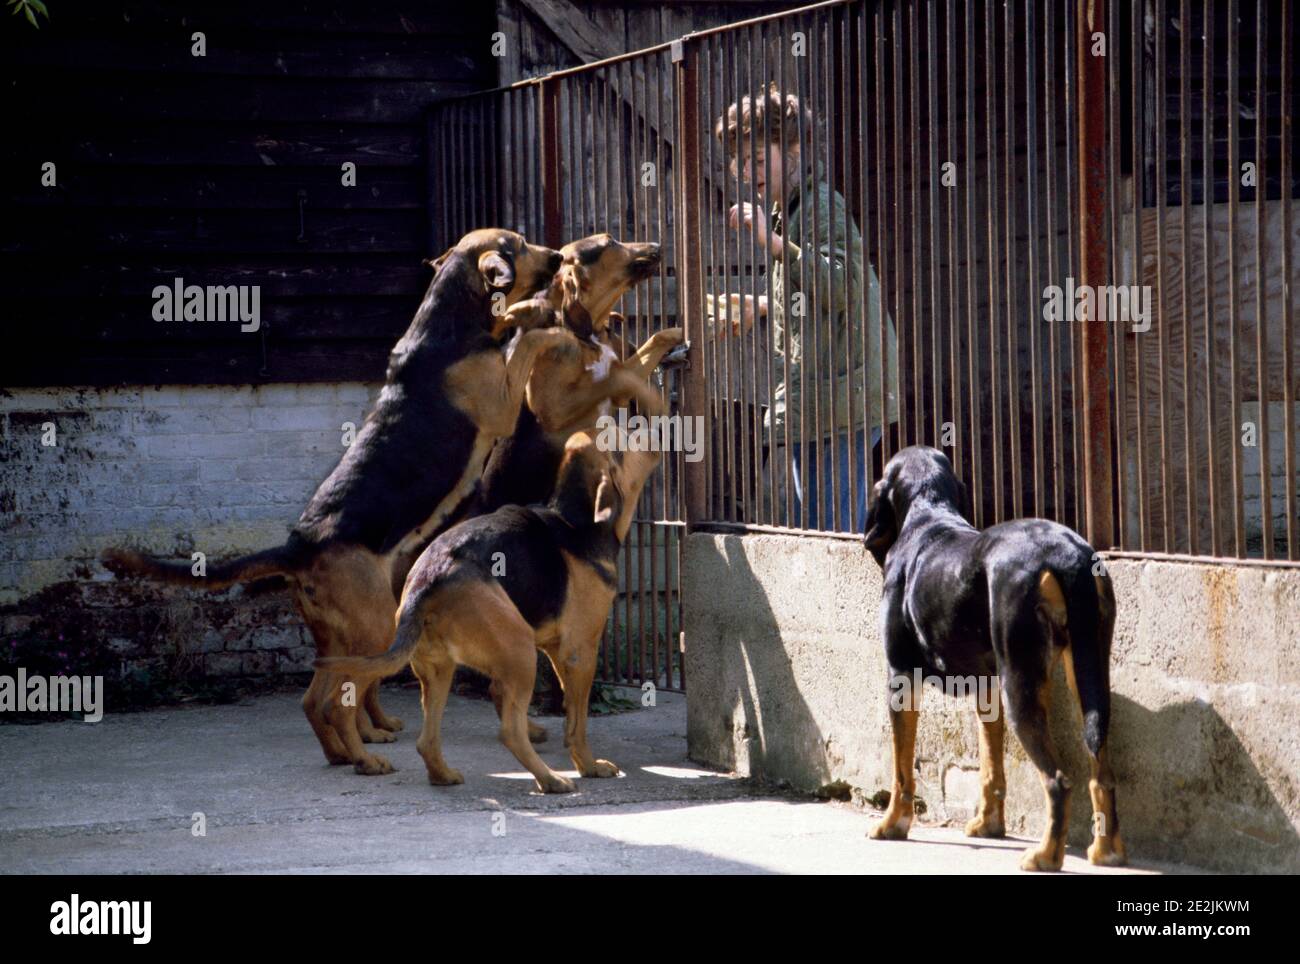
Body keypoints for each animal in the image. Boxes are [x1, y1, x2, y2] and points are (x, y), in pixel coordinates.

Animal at [313, 413, 660, 795]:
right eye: (624, 439)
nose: (653, 425)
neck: (576, 520)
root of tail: (428, 578)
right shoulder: (580, 652)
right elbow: (577, 722)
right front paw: (589, 766)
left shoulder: (556, 650)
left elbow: (568, 710)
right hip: (519, 652)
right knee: (508, 731)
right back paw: (549, 780)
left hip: (437, 669)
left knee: (425, 740)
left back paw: (441, 775)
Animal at [857, 449, 1123, 873]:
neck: (928, 515)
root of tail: (1066, 554)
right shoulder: (986, 686)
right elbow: (991, 766)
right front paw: (988, 825)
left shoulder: (900, 678)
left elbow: (901, 770)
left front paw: (891, 824)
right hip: (1089, 675)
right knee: (1101, 769)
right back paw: (1106, 850)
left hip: (1021, 687)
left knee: (1058, 781)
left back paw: (1046, 856)